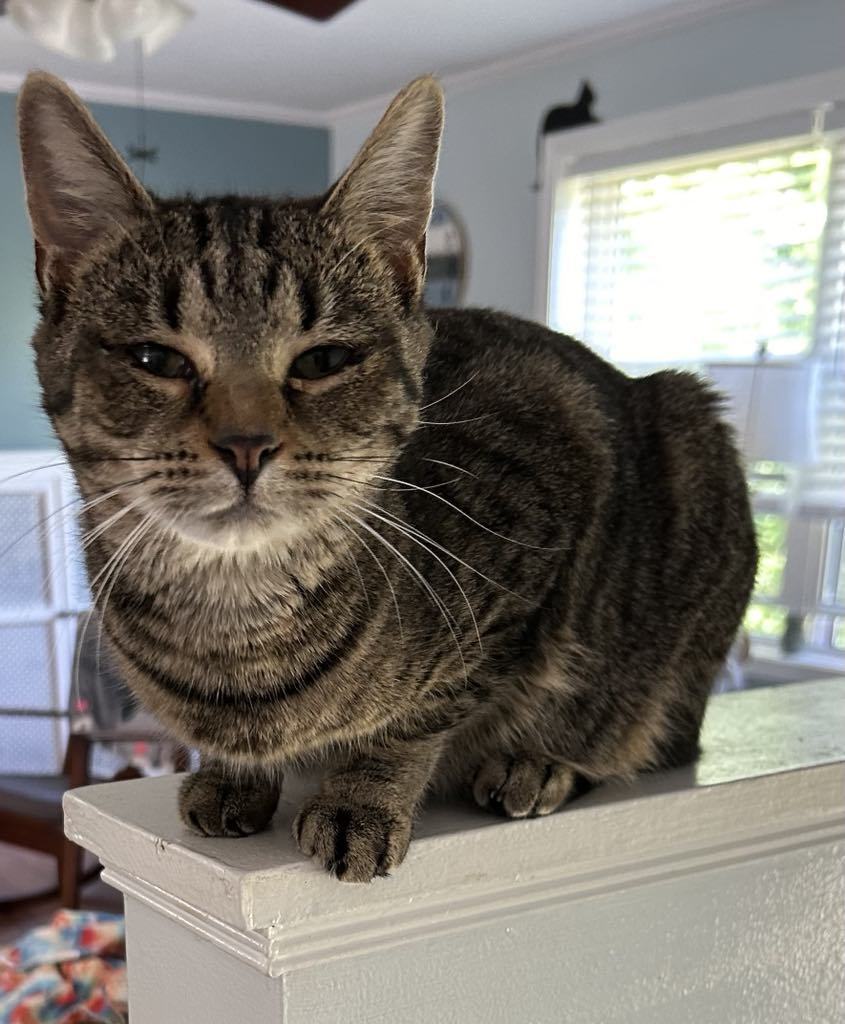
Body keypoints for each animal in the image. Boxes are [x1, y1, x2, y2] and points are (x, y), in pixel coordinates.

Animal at [18, 74, 757, 880]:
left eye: (323, 360)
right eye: (157, 360)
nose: (247, 445)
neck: (235, 638)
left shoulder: (533, 542)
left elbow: (421, 717)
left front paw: (361, 796)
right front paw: (231, 776)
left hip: (690, 448)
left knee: (637, 727)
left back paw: (541, 763)